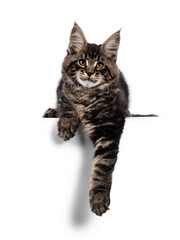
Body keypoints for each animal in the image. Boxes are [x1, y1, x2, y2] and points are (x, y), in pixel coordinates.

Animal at [42, 23, 156, 217]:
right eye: (82, 62)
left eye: (99, 65)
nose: (89, 73)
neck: (86, 95)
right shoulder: (63, 91)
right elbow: (67, 105)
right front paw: (66, 124)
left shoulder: (108, 128)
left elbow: (102, 167)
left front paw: (98, 198)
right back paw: (50, 112)